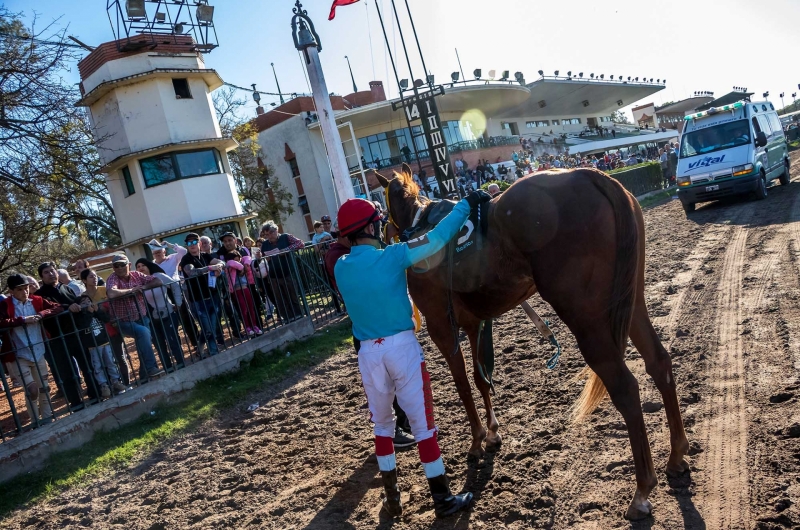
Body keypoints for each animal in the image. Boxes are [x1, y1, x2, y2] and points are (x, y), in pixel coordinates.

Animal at [378, 163, 692, 516]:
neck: (421, 229)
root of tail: (590, 175)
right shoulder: (474, 323)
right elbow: (480, 378)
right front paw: (492, 433)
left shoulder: (441, 326)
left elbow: (462, 385)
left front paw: (476, 439)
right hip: (631, 299)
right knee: (659, 362)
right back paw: (676, 455)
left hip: (586, 318)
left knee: (624, 387)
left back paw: (641, 490)